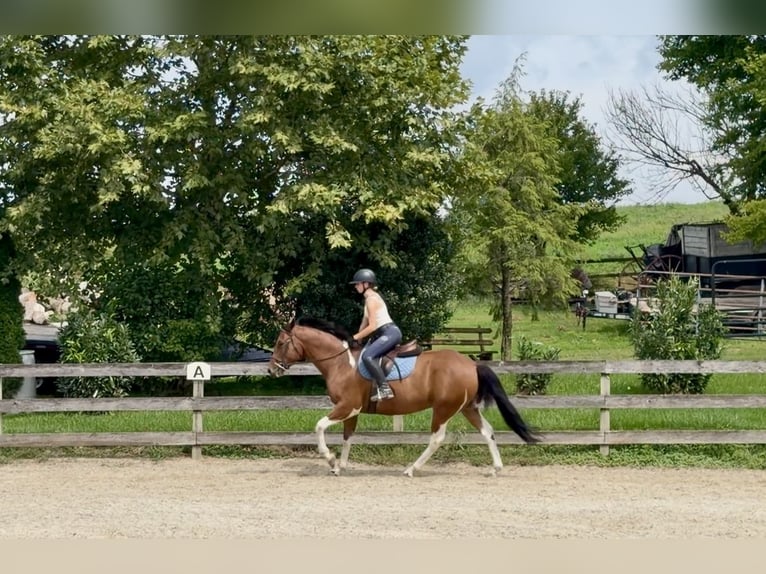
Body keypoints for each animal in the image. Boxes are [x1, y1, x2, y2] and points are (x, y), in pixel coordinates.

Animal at [267, 316, 540, 477]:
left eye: (280, 342)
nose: (271, 370)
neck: (341, 364)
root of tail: (471, 364)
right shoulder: (352, 412)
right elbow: (347, 436)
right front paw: (339, 466)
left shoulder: (347, 406)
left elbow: (319, 426)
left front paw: (329, 459)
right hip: (467, 407)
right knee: (487, 431)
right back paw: (496, 468)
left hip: (443, 409)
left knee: (437, 439)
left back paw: (411, 469)